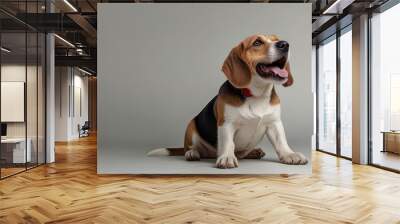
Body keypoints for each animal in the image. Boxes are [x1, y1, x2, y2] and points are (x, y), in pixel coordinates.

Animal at [148, 34, 308, 168]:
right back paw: (193, 153)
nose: (285, 44)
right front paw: (226, 158)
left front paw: (289, 154)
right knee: (193, 148)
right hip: (191, 126)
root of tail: (211, 154)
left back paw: (253, 152)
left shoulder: (274, 123)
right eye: (257, 42)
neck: (256, 95)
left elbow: (281, 141)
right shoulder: (226, 124)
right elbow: (228, 143)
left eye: (277, 39)